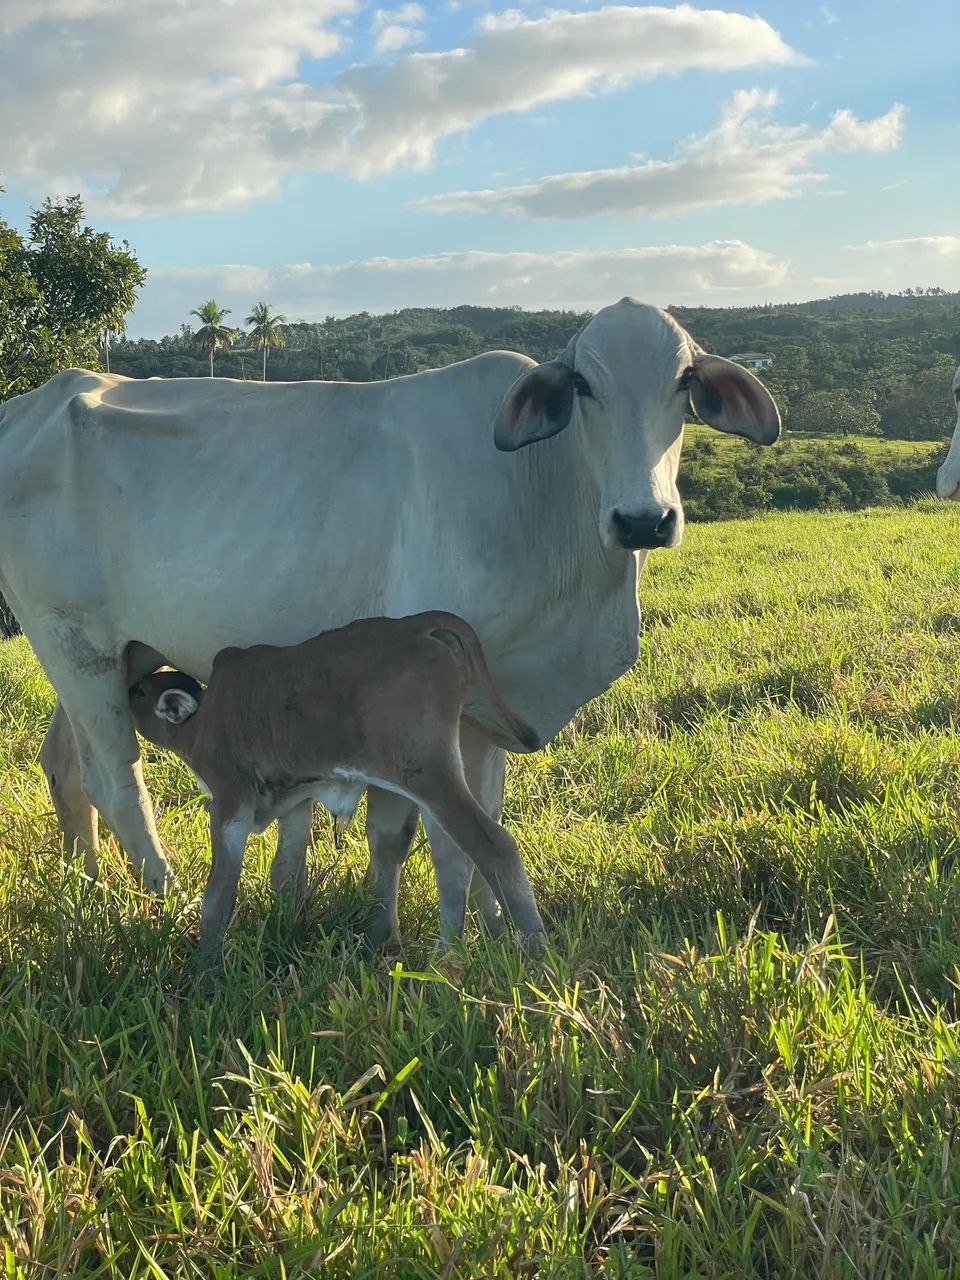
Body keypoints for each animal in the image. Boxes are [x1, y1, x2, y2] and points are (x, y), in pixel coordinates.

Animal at [129, 612, 542, 963]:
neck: (204, 721)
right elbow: (285, 874)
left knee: (493, 847)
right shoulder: (295, 802)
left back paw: (537, 951)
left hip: (429, 775)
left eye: (140, 692)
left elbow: (219, 893)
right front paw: (286, 936)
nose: (128, 685)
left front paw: (207, 970)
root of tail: (416, 625)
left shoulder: (231, 804)